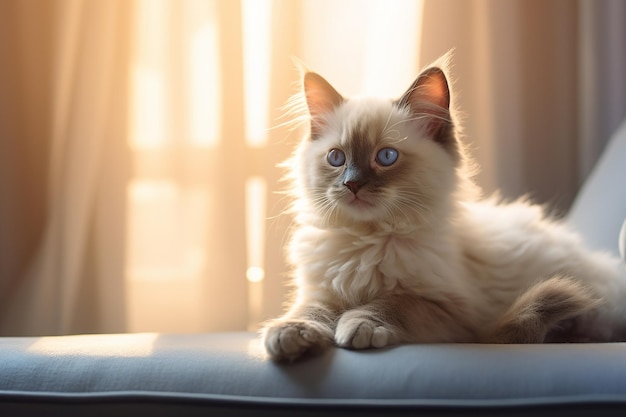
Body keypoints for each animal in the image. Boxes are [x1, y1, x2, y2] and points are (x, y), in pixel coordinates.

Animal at [260, 54, 624, 360]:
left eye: (386, 157)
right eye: (337, 158)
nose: (352, 184)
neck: (366, 243)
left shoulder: (449, 310)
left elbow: (392, 302)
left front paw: (361, 325)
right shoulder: (320, 292)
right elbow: (309, 312)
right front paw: (290, 334)